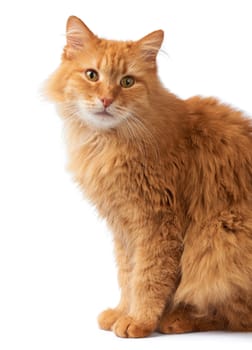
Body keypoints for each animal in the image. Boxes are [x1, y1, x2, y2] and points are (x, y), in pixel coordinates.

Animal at [45, 15, 252, 336]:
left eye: (127, 81)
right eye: (92, 75)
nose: (106, 100)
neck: (108, 144)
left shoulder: (157, 221)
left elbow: (148, 277)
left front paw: (139, 320)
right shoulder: (124, 226)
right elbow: (127, 274)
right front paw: (121, 311)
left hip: (219, 235)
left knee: (236, 316)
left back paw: (179, 319)